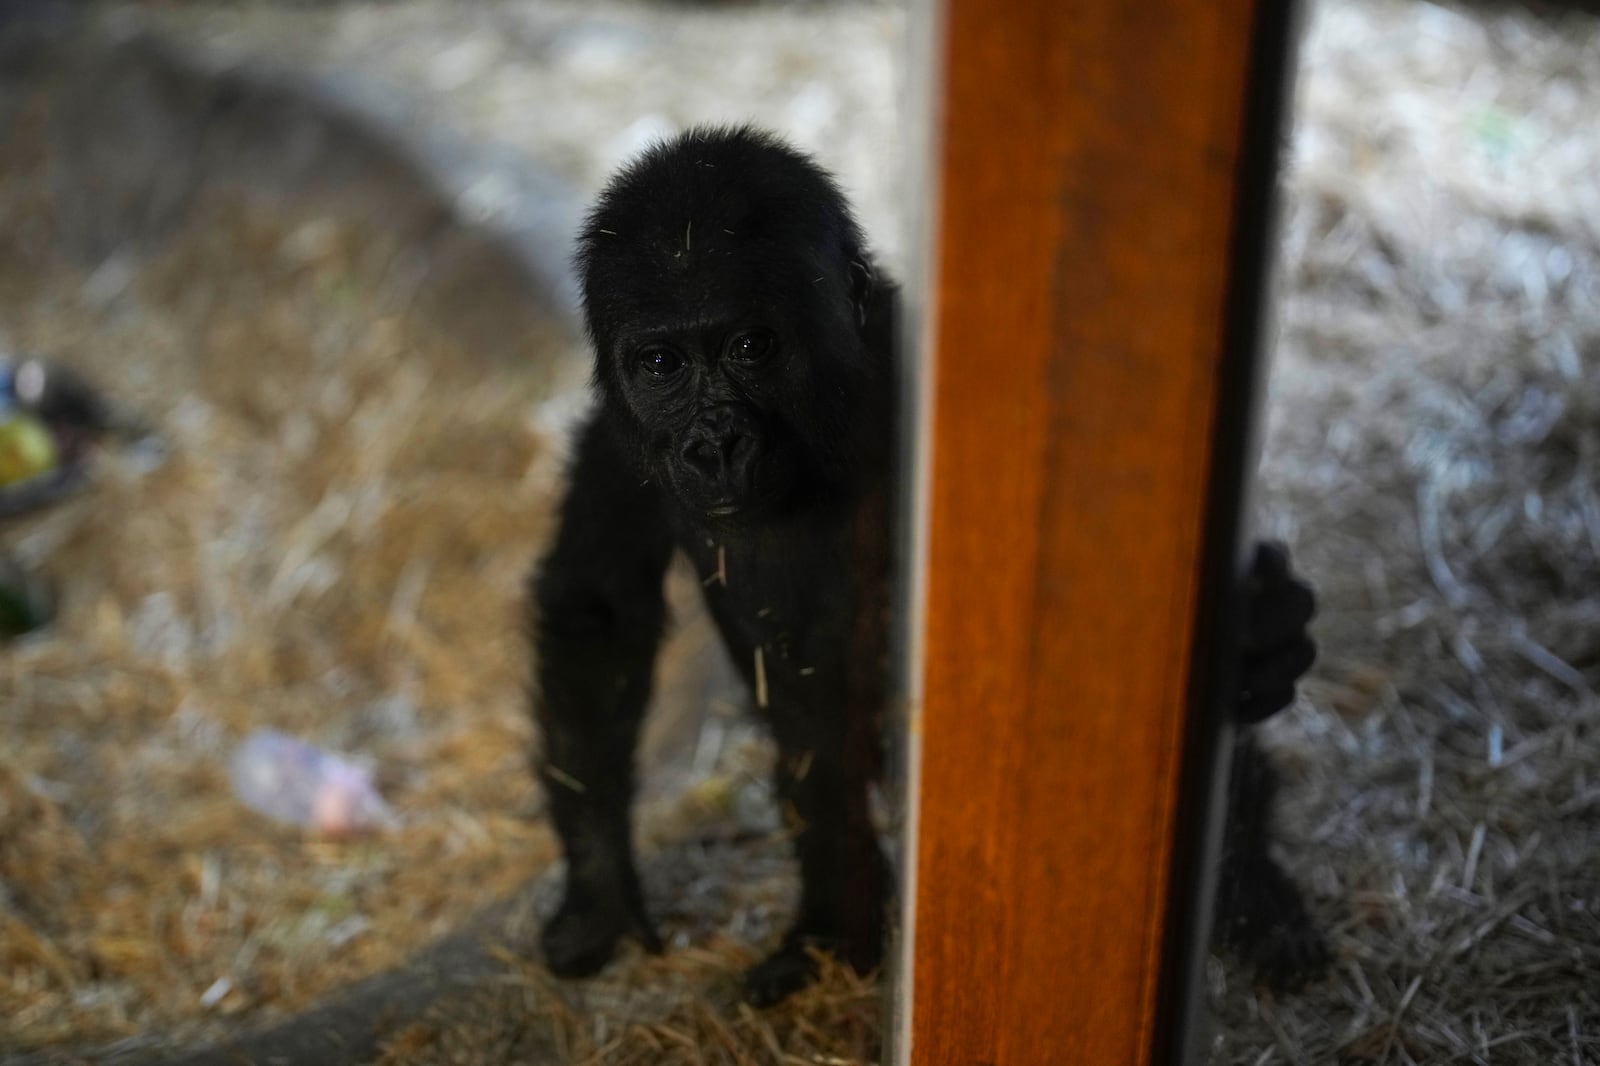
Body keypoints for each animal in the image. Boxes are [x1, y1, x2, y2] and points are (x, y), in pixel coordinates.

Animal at [531, 128, 1318, 998]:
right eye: (662, 364)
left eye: (752, 347)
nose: (715, 444)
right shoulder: (616, 442)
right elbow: (598, 613)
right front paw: (599, 891)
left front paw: (1257, 643)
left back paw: (1251, 887)